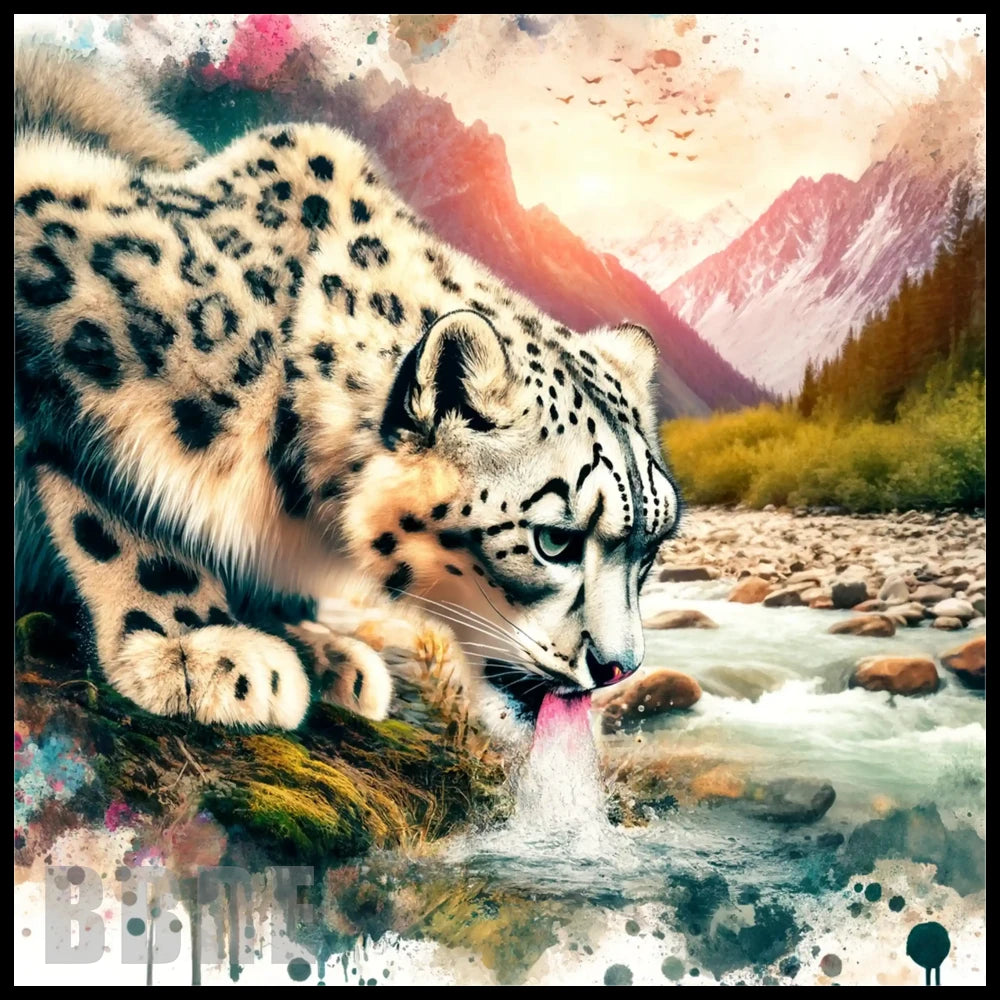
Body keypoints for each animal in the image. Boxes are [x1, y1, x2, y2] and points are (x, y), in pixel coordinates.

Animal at [14, 47, 681, 742]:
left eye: (653, 548)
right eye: (554, 541)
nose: (619, 668)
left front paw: (319, 649)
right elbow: (105, 502)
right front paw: (198, 648)